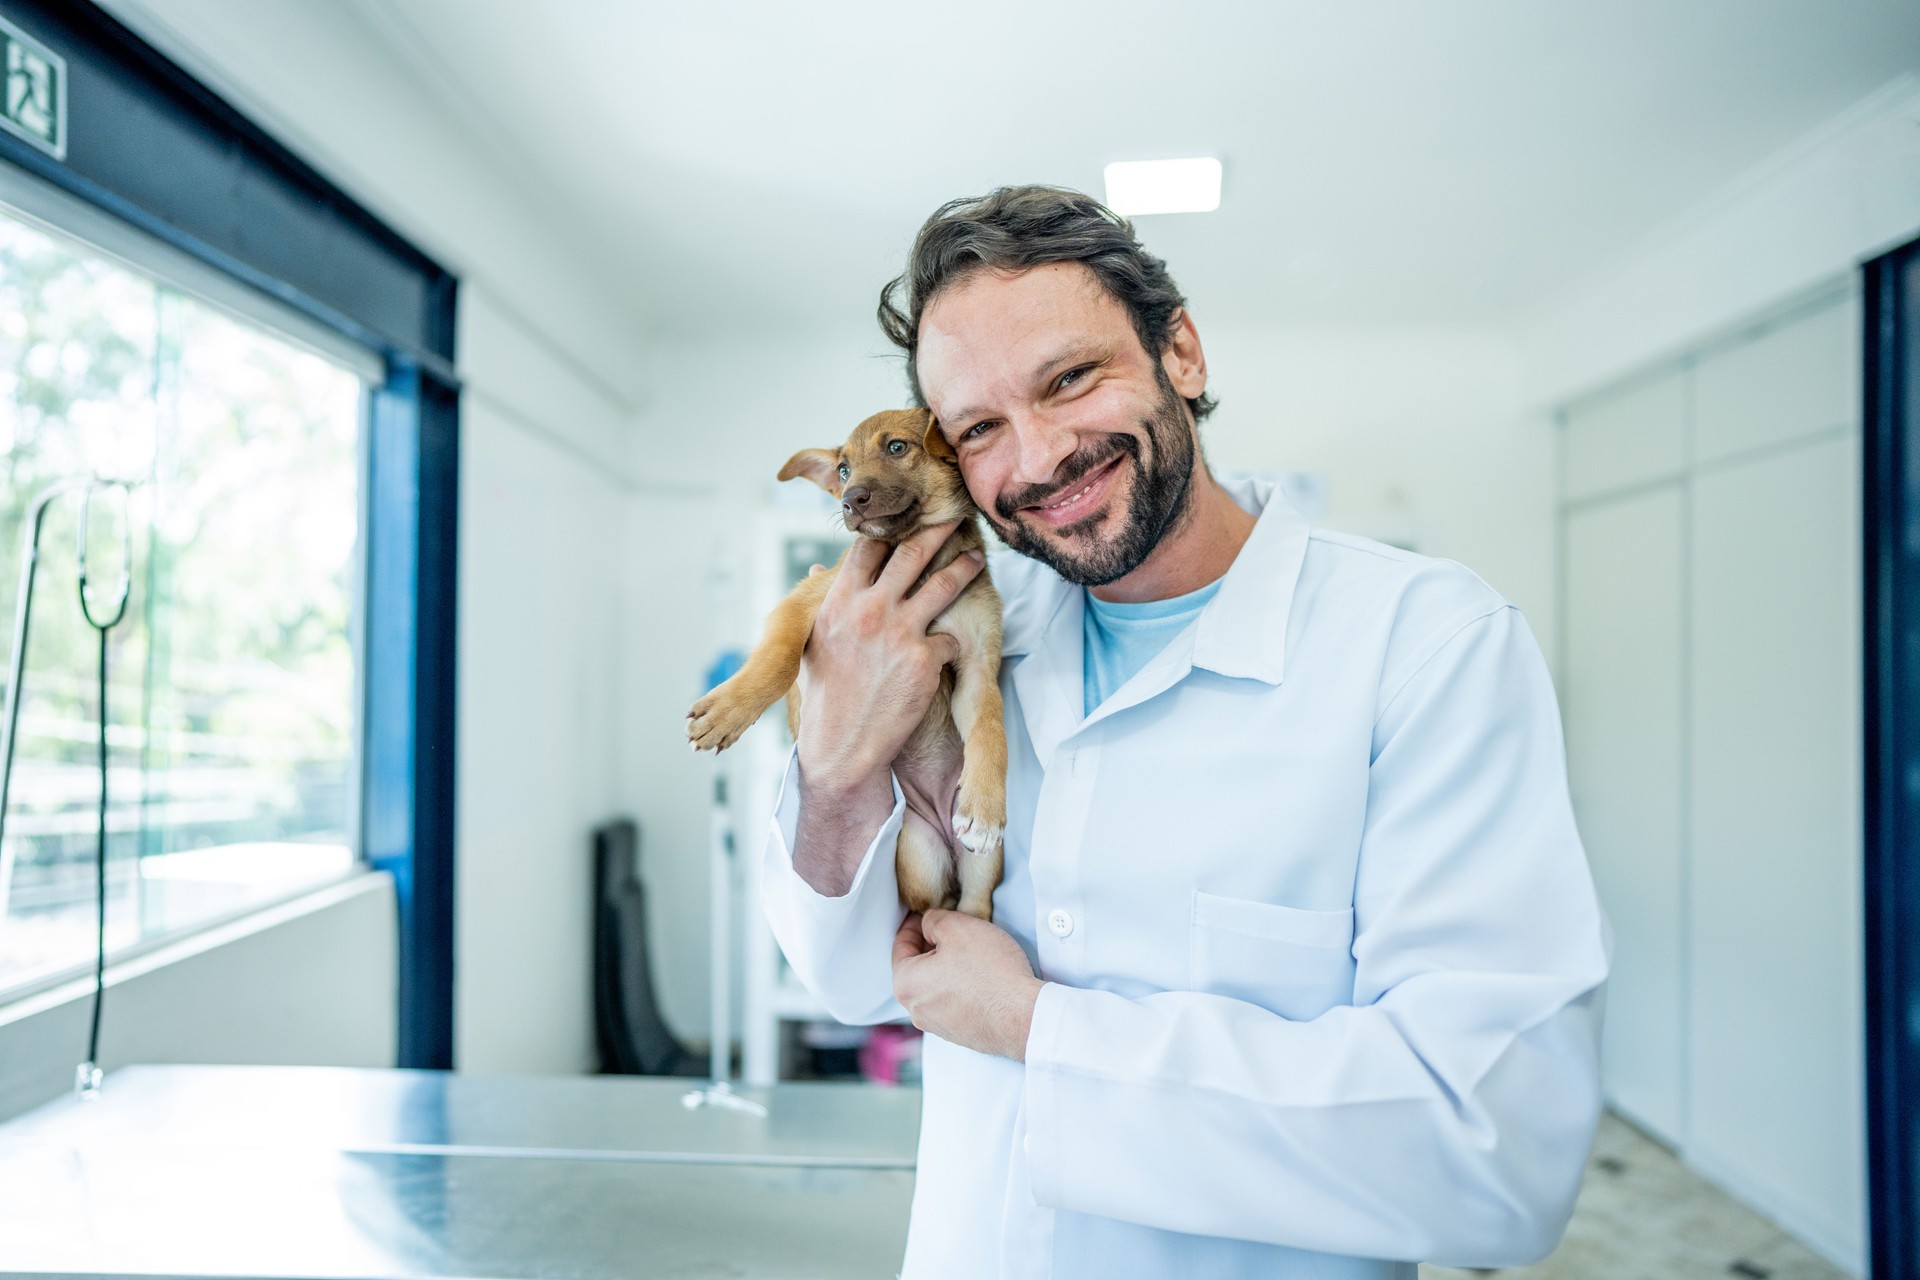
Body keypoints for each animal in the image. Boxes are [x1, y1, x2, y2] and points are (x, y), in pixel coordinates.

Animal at [687, 410, 1013, 921]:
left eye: (897, 448)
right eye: (842, 470)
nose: (849, 500)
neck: (917, 562)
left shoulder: (978, 667)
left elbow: (990, 729)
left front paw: (984, 806)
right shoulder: (805, 603)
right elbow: (778, 660)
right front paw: (727, 711)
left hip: (980, 867)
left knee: (970, 906)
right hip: (916, 851)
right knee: (928, 906)